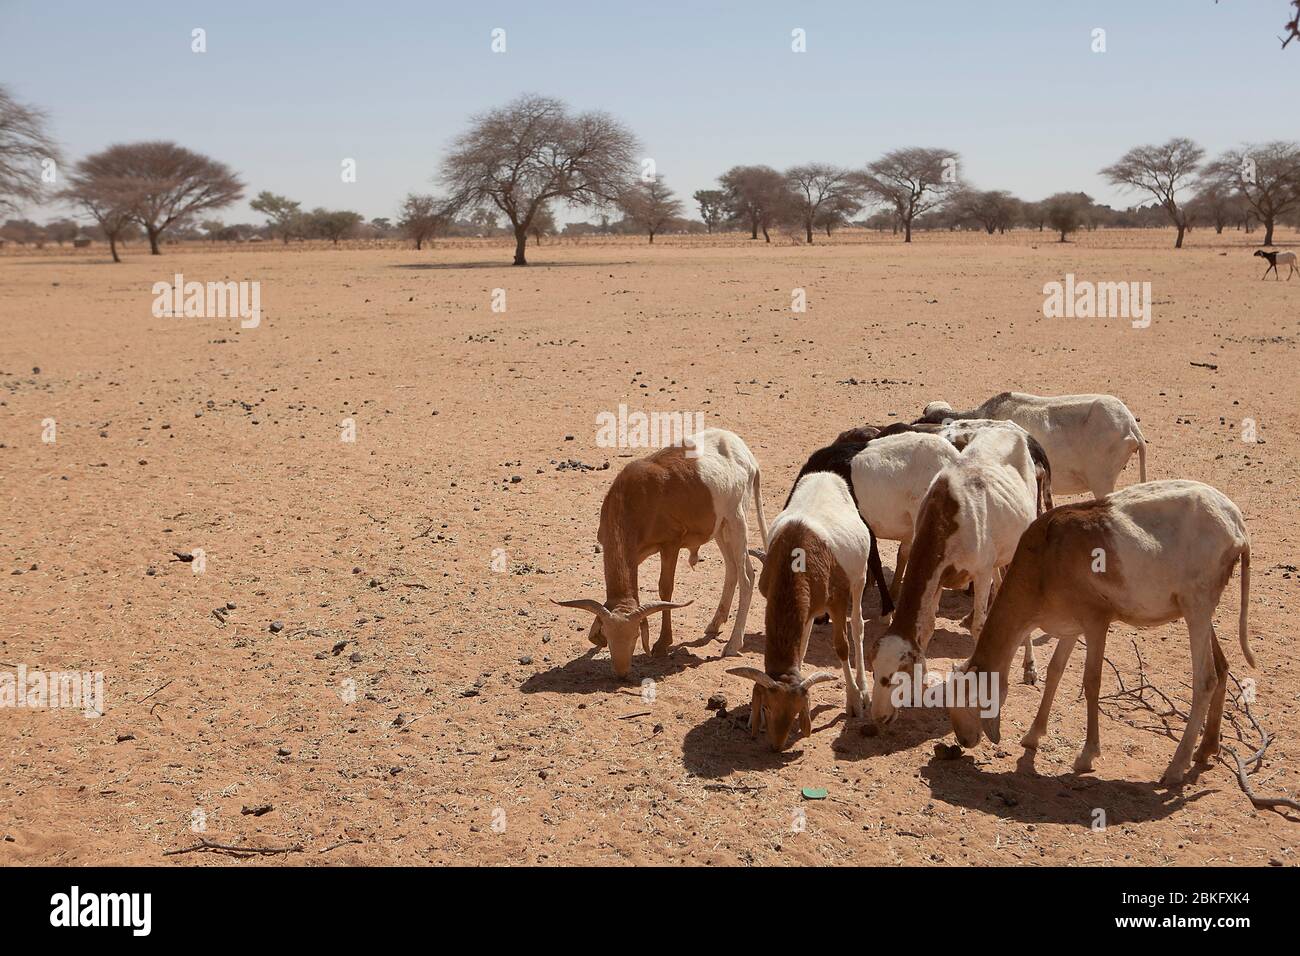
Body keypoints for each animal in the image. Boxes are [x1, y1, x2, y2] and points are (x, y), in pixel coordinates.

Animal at [551, 426, 769, 681]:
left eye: (636, 636)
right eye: (610, 635)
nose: (621, 672)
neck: (635, 498)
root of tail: (746, 454)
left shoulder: (670, 544)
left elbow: (665, 589)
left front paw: (662, 644)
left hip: (736, 521)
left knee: (747, 577)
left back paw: (733, 645)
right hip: (720, 528)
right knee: (732, 570)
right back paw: (715, 624)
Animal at [733, 470, 873, 749]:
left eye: (797, 711)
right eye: (766, 708)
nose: (777, 745)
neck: (796, 553)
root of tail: (826, 475)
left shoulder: (837, 600)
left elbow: (842, 646)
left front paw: (853, 700)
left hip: (859, 578)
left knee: (857, 627)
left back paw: (863, 690)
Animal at [951, 478, 1253, 785]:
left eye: (968, 698)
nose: (963, 740)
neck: (1045, 560)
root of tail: (1237, 527)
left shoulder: (1096, 620)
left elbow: (1092, 681)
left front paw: (1086, 756)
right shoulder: (1069, 625)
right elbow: (1055, 671)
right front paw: (1032, 736)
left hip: (1197, 606)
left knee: (1205, 679)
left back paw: (1176, 767)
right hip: (1201, 610)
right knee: (1222, 666)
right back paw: (1206, 749)